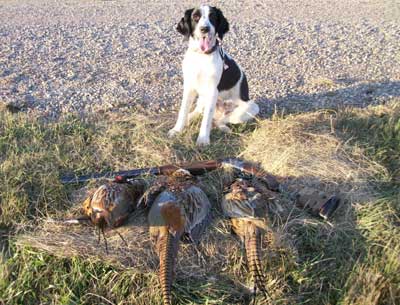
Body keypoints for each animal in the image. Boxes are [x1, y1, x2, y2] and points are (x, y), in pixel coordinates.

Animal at [168, 5, 260, 145]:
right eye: (195, 17)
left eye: (212, 17)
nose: (204, 29)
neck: (201, 57)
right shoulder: (189, 86)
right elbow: (183, 111)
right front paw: (177, 130)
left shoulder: (212, 91)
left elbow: (206, 120)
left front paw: (203, 139)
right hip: (202, 97)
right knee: (199, 111)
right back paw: (190, 118)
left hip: (250, 108)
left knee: (219, 120)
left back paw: (224, 127)